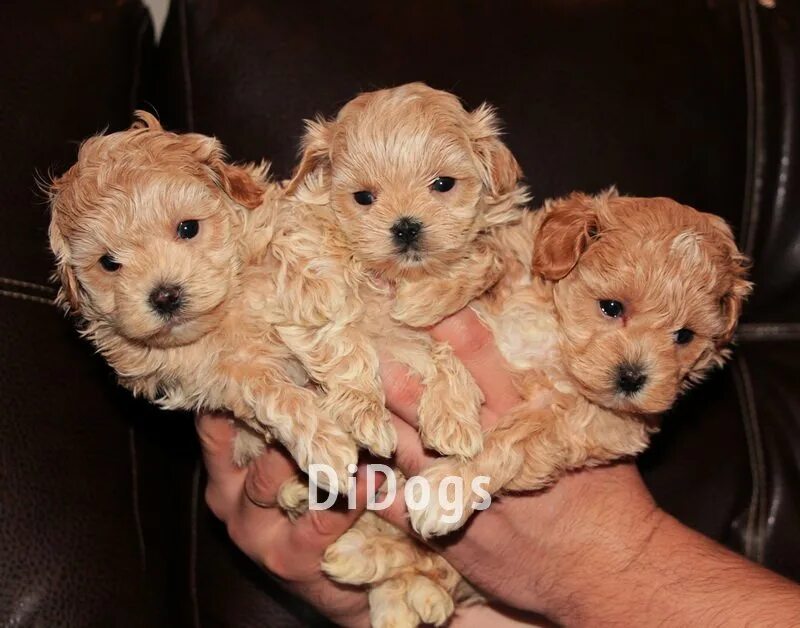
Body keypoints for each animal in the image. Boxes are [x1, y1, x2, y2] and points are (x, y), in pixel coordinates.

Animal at [50, 114, 362, 496]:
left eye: (188, 228)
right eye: (109, 263)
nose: (165, 295)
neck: (227, 310)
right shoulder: (221, 378)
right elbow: (269, 394)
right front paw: (324, 445)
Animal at [284, 84, 528, 628]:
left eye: (443, 184)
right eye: (363, 198)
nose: (406, 227)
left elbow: (452, 322)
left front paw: (452, 417)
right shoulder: (311, 283)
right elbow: (341, 337)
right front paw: (365, 415)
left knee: (427, 566)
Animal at [410, 189, 752, 536]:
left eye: (684, 336)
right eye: (611, 307)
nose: (631, 378)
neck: (557, 332)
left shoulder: (606, 424)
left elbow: (525, 430)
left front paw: (449, 487)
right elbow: (489, 262)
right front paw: (424, 293)